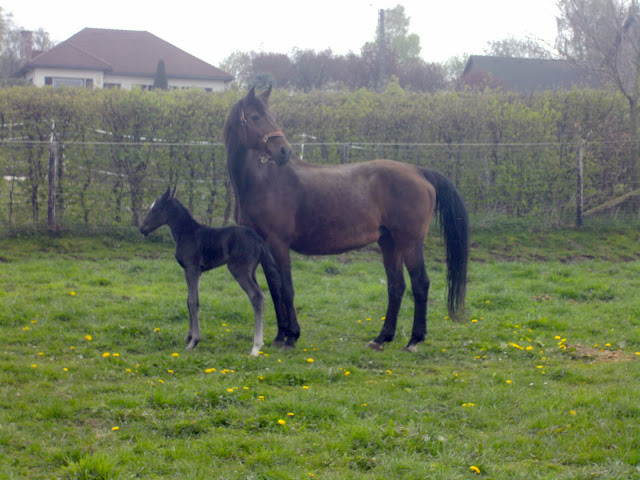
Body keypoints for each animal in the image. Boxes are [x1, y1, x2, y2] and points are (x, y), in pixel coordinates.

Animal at [140, 188, 280, 356]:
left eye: (155, 209)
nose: (142, 229)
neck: (187, 233)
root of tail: (259, 239)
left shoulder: (191, 268)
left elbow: (193, 302)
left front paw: (194, 342)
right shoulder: (198, 272)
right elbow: (189, 300)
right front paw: (188, 337)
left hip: (238, 269)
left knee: (257, 296)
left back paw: (256, 346)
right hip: (251, 271)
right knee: (260, 296)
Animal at [222, 86, 468, 350]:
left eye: (272, 116)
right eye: (255, 117)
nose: (284, 151)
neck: (264, 182)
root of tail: (418, 171)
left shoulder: (278, 243)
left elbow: (287, 288)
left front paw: (292, 336)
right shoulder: (264, 247)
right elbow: (275, 288)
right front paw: (280, 336)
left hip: (410, 242)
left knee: (420, 284)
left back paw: (414, 339)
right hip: (389, 242)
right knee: (396, 286)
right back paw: (382, 338)